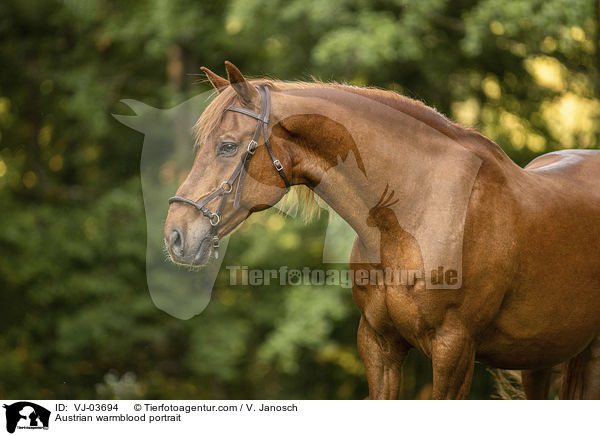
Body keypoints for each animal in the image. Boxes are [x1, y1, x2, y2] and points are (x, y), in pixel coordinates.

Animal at [164, 61, 600, 398]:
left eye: (227, 146)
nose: (176, 235)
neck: (411, 217)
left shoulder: (454, 350)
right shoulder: (379, 344)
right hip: (541, 356)